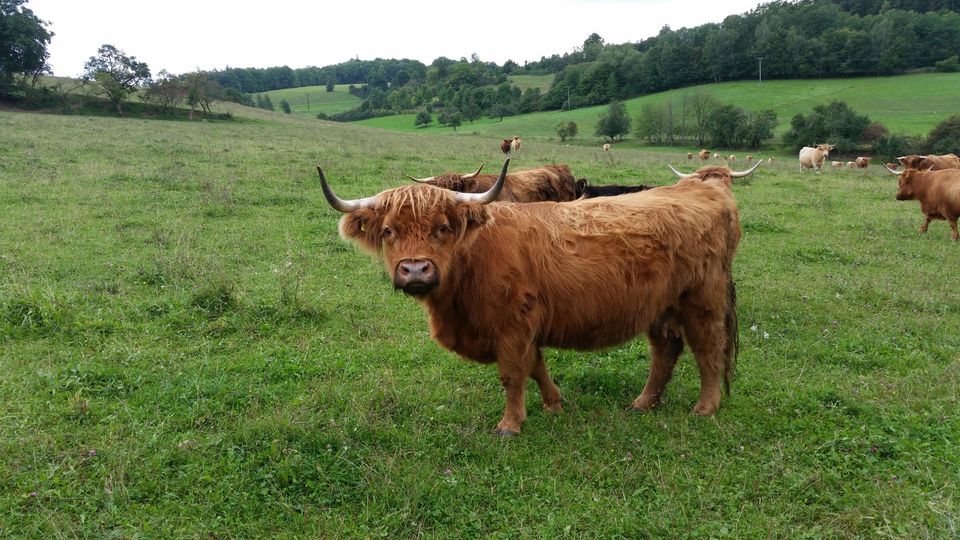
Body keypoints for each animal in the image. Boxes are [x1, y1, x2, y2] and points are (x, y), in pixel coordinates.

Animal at [318, 157, 740, 434]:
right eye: (388, 231)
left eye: (443, 228)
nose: (416, 270)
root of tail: (704, 190)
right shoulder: (525, 326)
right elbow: (537, 367)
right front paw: (555, 404)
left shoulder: (512, 325)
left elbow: (513, 374)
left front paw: (510, 424)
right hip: (660, 306)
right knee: (665, 351)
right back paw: (642, 405)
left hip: (702, 299)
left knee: (708, 349)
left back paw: (705, 407)